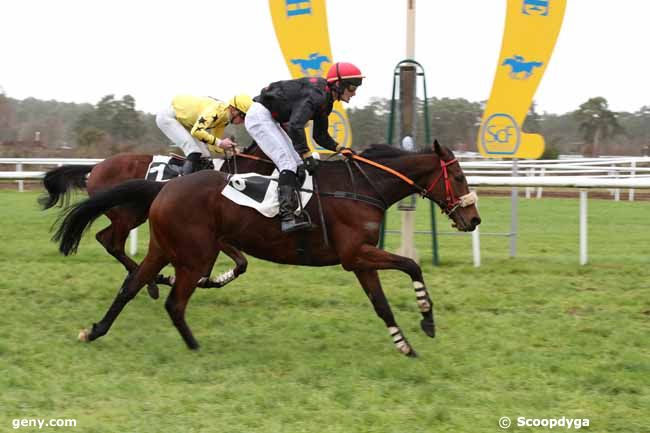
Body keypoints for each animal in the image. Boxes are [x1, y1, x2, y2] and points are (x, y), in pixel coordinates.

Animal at [39, 143, 274, 298]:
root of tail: (96, 167)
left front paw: (203, 280)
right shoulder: (219, 235)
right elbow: (236, 263)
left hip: (133, 216)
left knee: (103, 237)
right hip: (127, 216)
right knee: (113, 244)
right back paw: (152, 282)